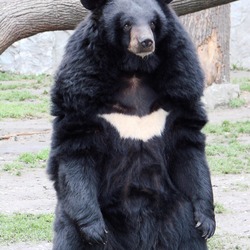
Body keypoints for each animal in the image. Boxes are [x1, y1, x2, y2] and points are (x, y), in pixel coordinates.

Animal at [47, 0, 216, 249]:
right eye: (127, 24)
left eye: (154, 23)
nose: (146, 42)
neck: (135, 69)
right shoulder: (80, 85)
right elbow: (77, 145)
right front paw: (95, 230)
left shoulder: (182, 82)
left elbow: (187, 143)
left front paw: (206, 221)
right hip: (80, 212)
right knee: (71, 236)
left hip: (174, 209)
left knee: (187, 237)